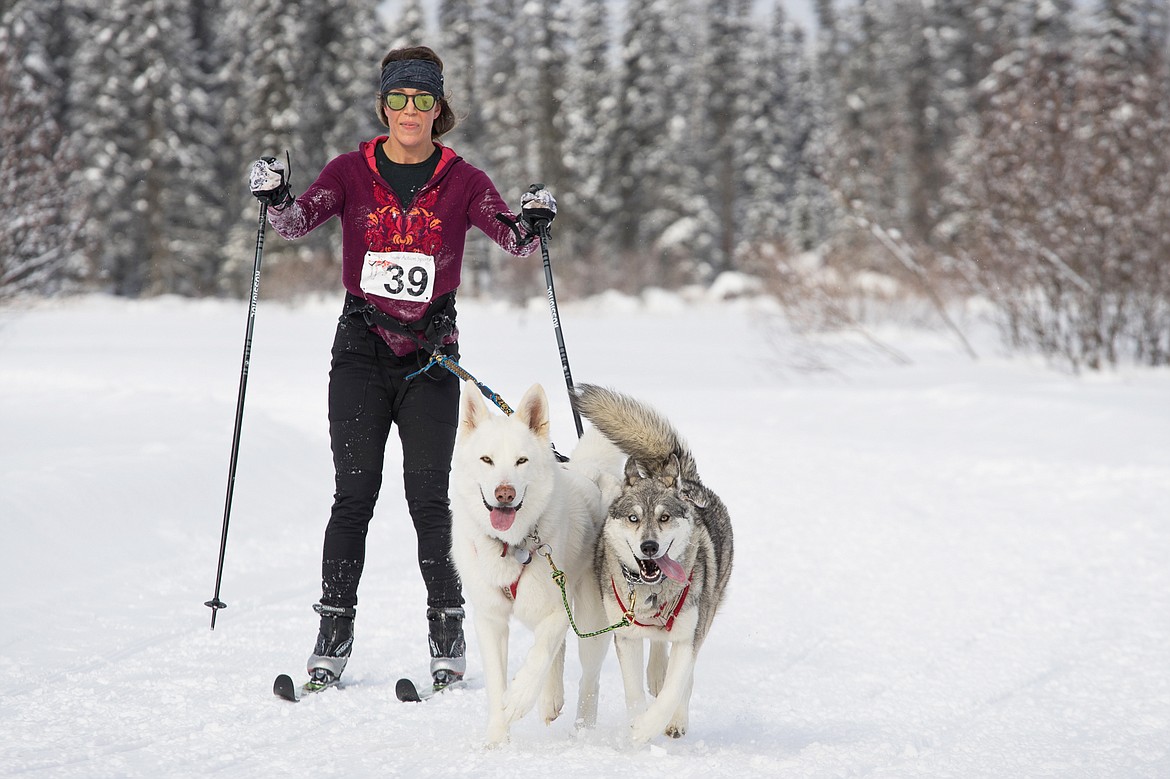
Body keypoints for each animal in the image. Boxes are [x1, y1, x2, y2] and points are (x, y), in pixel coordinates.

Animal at [446, 385, 622, 743]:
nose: (504, 493)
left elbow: (541, 652)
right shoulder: (490, 619)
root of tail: (591, 473)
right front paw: (497, 738)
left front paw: (518, 699)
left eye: (521, 460)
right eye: (486, 460)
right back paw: (551, 700)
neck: (510, 545)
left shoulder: (557, 609)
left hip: (589, 616)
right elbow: (497, 682)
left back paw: (581, 730)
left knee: (588, 675)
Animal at [568, 381, 730, 739]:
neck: (652, 594)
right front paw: (635, 722)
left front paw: (646, 728)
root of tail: (687, 481)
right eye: (633, 518)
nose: (650, 546)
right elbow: (633, 692)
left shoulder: (688, 637)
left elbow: (674, 690)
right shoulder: (626, 636)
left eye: (664, 517)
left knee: (681, 678)